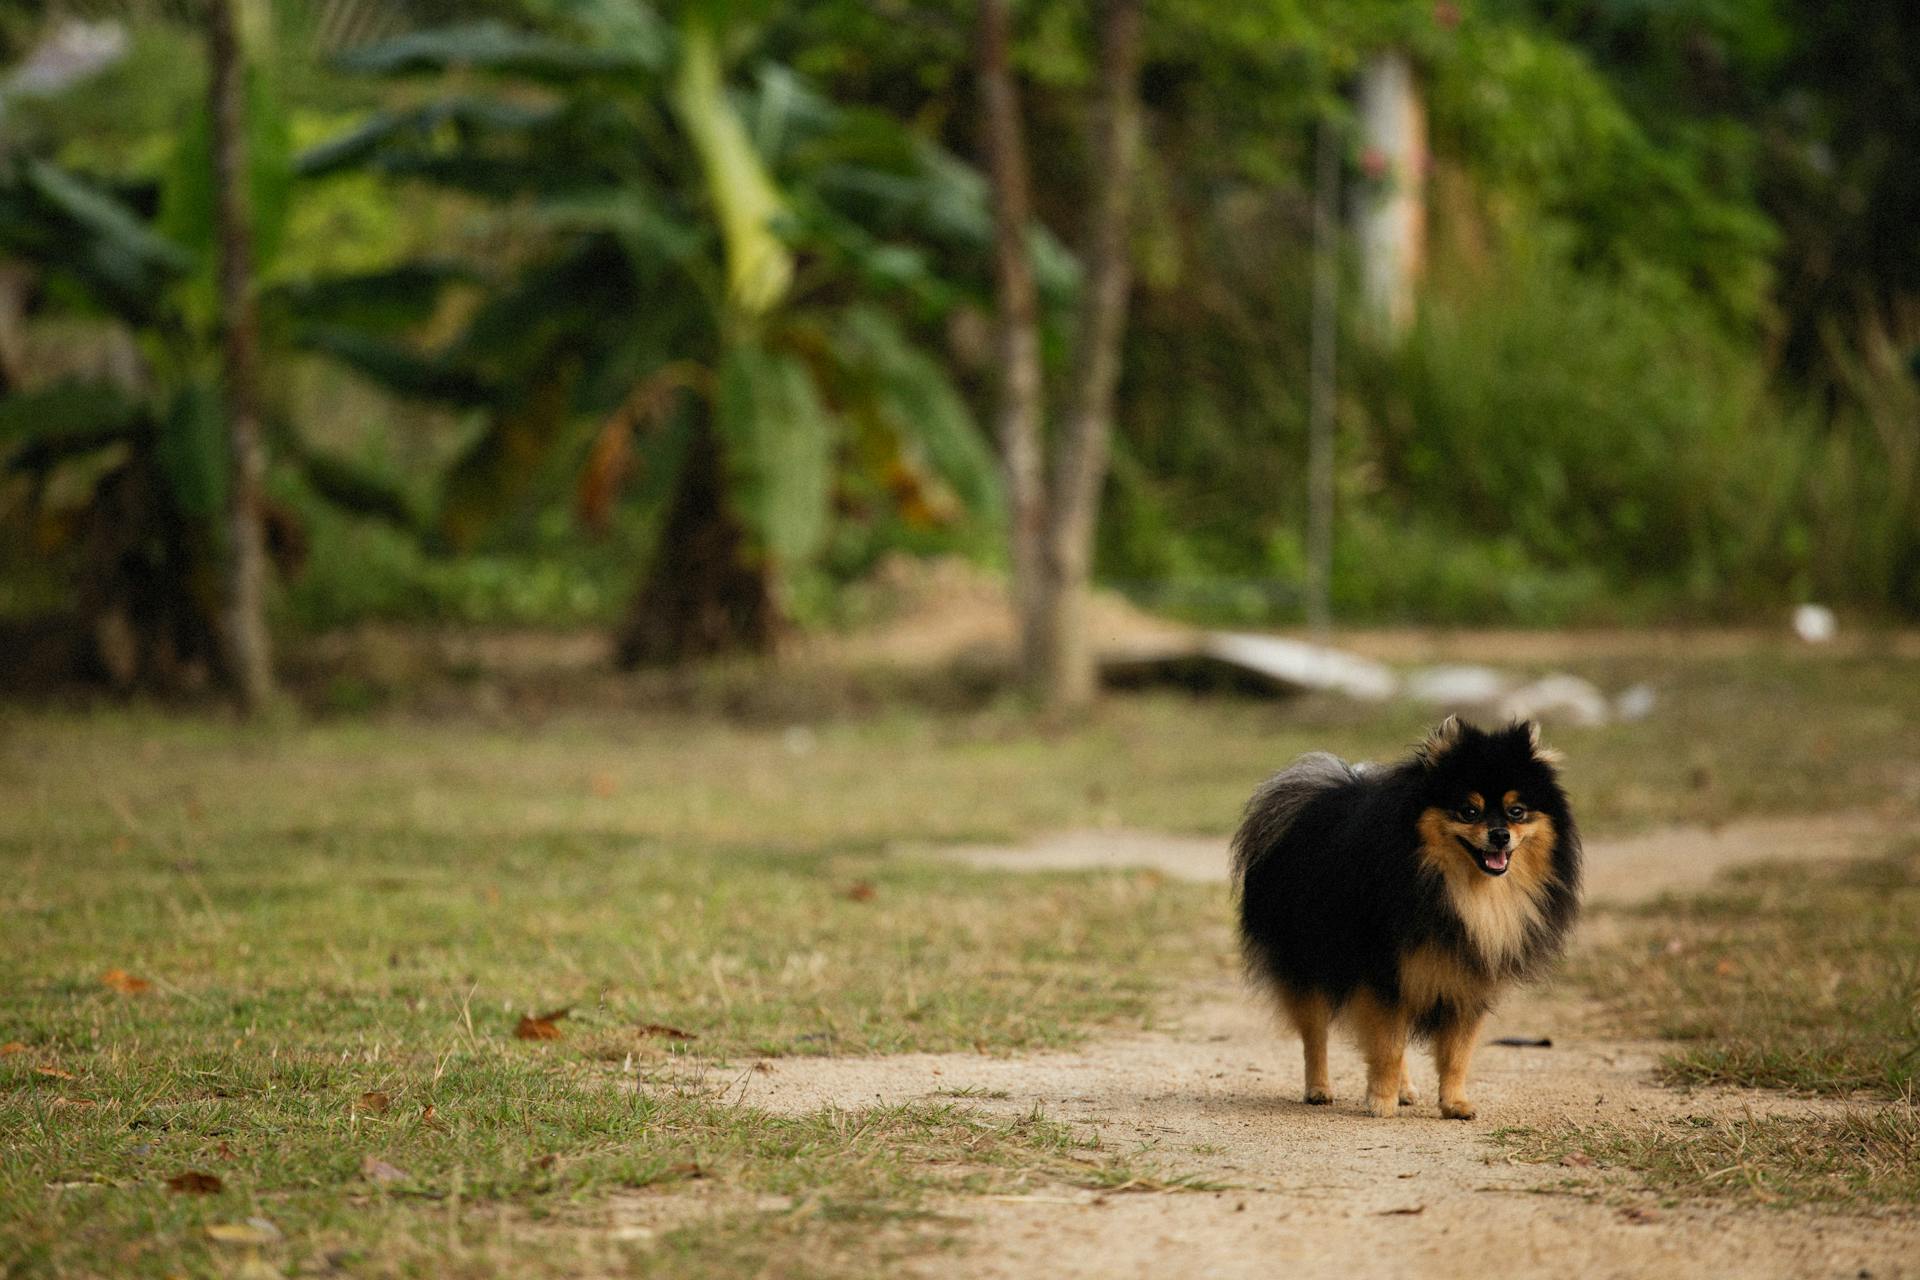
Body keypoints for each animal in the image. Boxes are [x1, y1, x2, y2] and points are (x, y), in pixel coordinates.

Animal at [1236, 721, 1582, 1120]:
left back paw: (1403, 1090)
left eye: (1517, 811)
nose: (1500, 835)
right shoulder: (1382, 974)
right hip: (1308, 962)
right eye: (1468, 811)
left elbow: (1455, 1053)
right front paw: (1380, 1103)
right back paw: (1319, 1089)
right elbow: (1386, 1045)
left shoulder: (1465, 979)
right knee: (1315, 1033)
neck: (1464, 893)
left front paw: (1454, 1103)